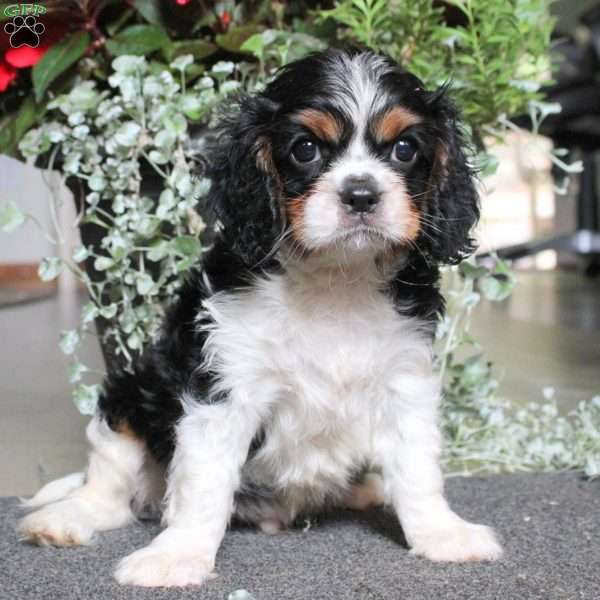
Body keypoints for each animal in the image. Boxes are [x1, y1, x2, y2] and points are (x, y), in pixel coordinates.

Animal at [17, 50, 502, 584]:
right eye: (305, 149)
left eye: (404, 149)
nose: (360, 194)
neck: (335, 278)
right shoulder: (225, 388)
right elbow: (204, 486)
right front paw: (179, 555)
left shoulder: (404, 382)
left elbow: (418, 471)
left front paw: (441, 533)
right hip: (129, 395)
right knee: (109, 489)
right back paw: (64, 519)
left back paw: (368, 489)